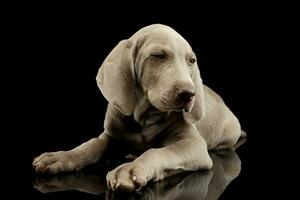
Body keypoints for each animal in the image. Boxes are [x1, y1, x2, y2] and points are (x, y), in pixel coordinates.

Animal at [32, 24, 245, 191]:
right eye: (158, 55)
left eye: (191, 61)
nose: (189, 94)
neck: (145, 118)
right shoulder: (111, 135)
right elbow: (91, 144)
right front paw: (60, 157)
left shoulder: (193, 144)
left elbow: (160, 151)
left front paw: (131, 169)